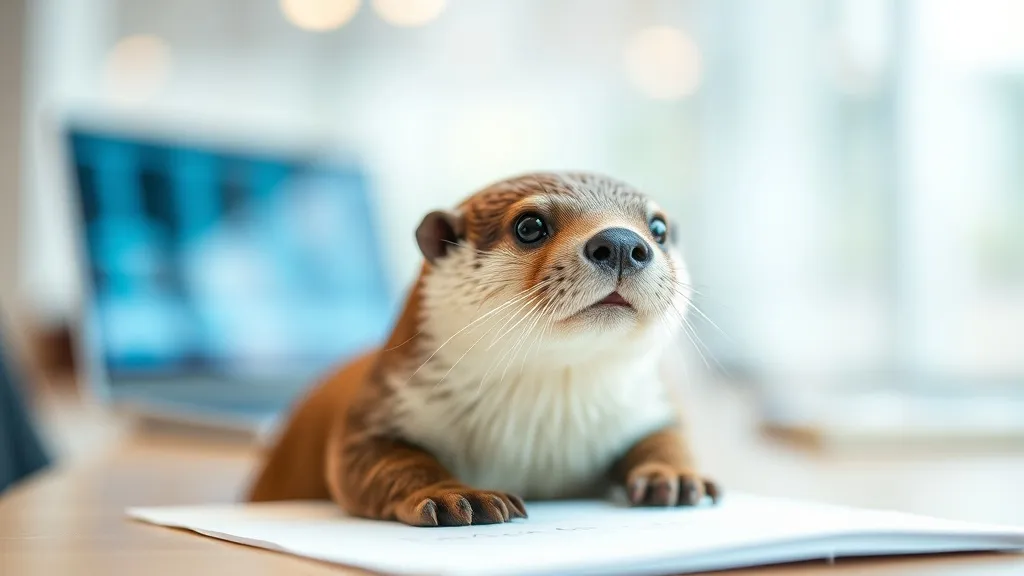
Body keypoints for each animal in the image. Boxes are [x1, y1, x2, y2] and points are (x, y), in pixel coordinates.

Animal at [245, 172, 720, 526]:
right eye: (529, 226)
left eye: (658, 229)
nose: (622, 242)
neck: (537, 430)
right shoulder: (379, 409)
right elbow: (381, 462)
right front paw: (458, 495)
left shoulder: (649, 404)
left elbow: (666, 437)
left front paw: (675, 476)